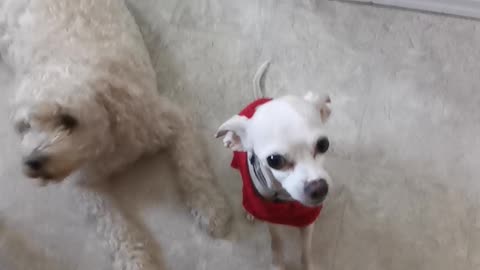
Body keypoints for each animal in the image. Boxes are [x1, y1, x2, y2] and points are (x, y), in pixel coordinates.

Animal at [0, 0, 232, 268]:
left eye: (68, 119)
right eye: (25, 126)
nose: (32, 162)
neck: (107, 140)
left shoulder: (171, 121)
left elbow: (193, 169)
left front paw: (210, 207)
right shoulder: (85, 184)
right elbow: (113, 224)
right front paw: (134, 257)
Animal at [216, 62, 332, 268]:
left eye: (323, 144)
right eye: (274, 160)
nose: (319, 188)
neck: (287, 200)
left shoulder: (308, 221)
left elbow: (306, 250)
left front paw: (307, 265)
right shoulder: (271, 220)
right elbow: (276, 242)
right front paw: (278, 264)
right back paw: (250, 212)